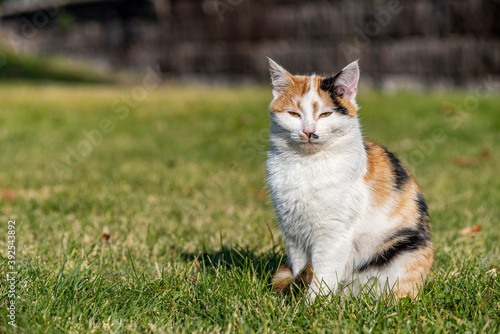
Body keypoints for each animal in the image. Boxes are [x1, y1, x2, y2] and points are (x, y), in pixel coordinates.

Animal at [266, 58, 434, 302]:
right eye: (294, 114)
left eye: (325, 114)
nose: (309, 131)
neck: (307, 165)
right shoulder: (293, 232)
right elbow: (300, 268)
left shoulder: (334, 233)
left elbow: (323, 272)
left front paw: (312, 305)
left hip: (406, 248)